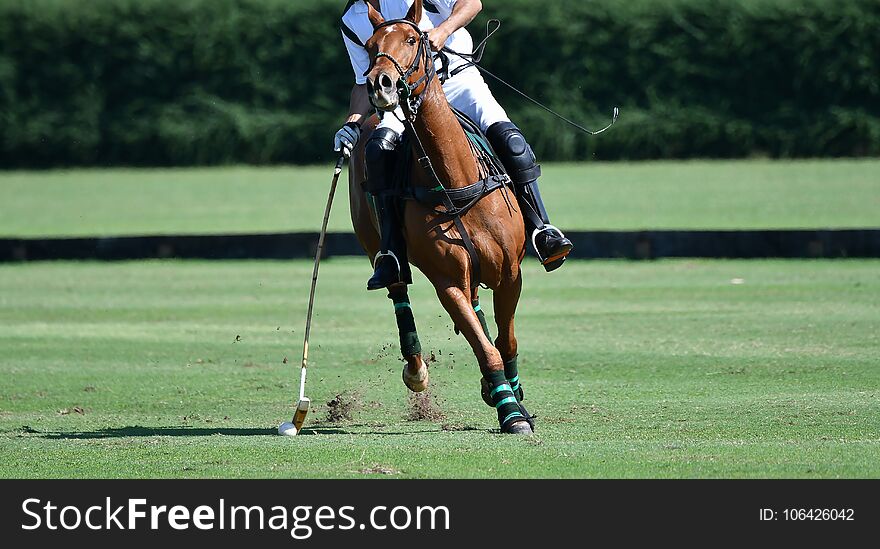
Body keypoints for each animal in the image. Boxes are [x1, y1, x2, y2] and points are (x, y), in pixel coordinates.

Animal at [348, 1, 532, 436]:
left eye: (413, 40)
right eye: (369, 45)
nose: (378, 84)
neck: (454, 180)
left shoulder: (511, 272)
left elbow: (506, 342)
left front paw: (513, 395)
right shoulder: (445, 280)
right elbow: (486, 349)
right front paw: (511, 413)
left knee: (512, 139)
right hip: (373, 242)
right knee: (397, 287)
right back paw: (416, 370)